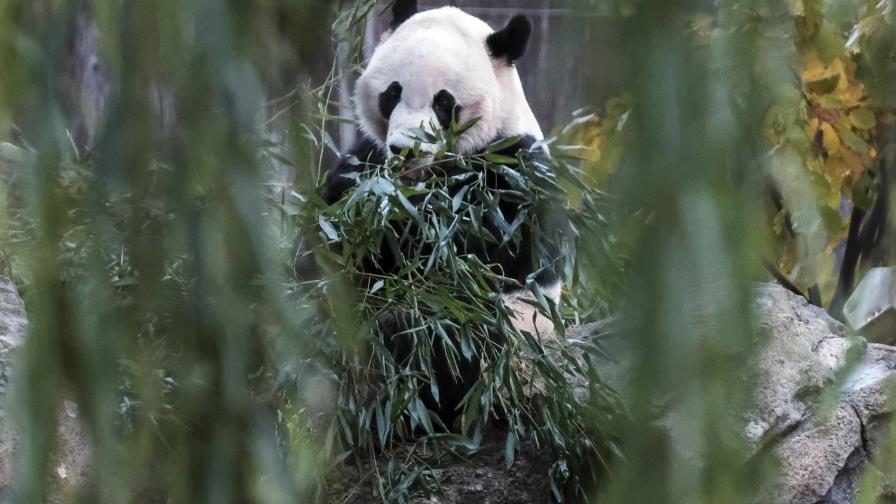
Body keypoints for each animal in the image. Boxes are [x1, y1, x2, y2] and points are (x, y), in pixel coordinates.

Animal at [320, 0, 562, 427]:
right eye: (392, 93)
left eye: (444, 102)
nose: (405, 149)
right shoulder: (368, 158)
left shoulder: (512, 172)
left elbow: (480, 253)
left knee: (446, 338)